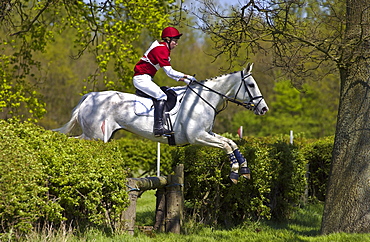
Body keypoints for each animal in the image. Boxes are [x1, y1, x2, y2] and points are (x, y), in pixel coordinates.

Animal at [54, 63, 268, 182]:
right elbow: (226, 146)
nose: (263, 109)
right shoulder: (198, 137)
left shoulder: (207, 133)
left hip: (95, 136)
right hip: (97, 137)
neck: (203, 99)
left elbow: (231, 143)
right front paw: (234, 173)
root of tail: (89, 97)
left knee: (73, 140)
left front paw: (245, 170)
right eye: (251, 85)